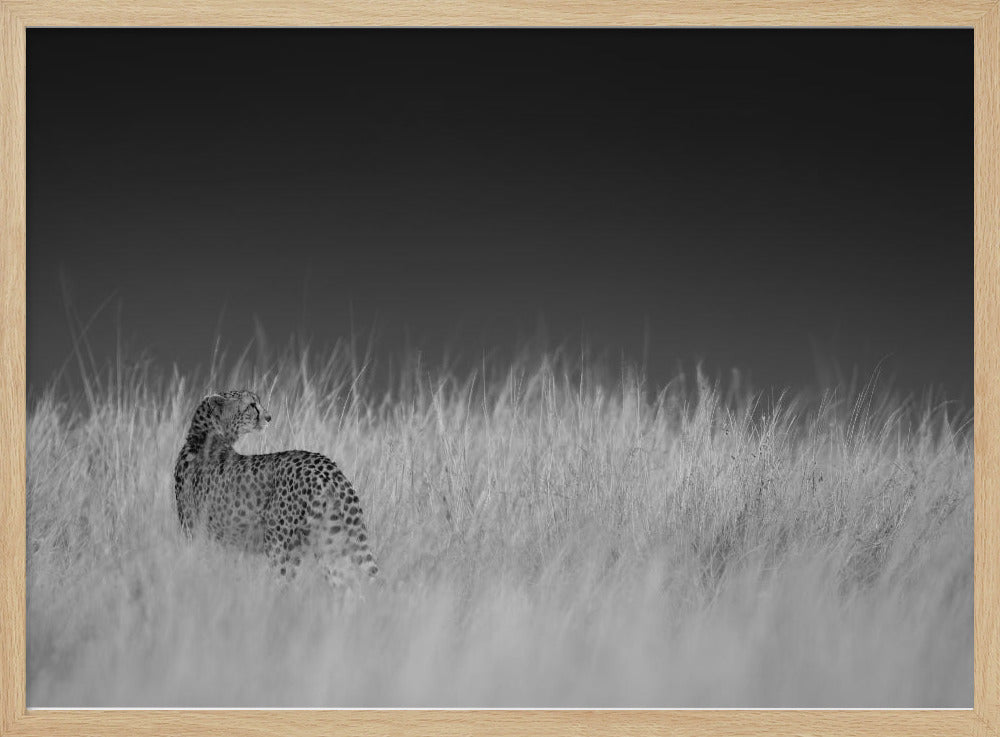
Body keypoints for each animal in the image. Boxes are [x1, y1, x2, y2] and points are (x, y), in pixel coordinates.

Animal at [172, 388, 378, 584]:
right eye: (251, 405)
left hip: (280, 545)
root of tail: (326, 465)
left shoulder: (199, 535)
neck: (204, 437)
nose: (269, 417)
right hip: (330, 543)